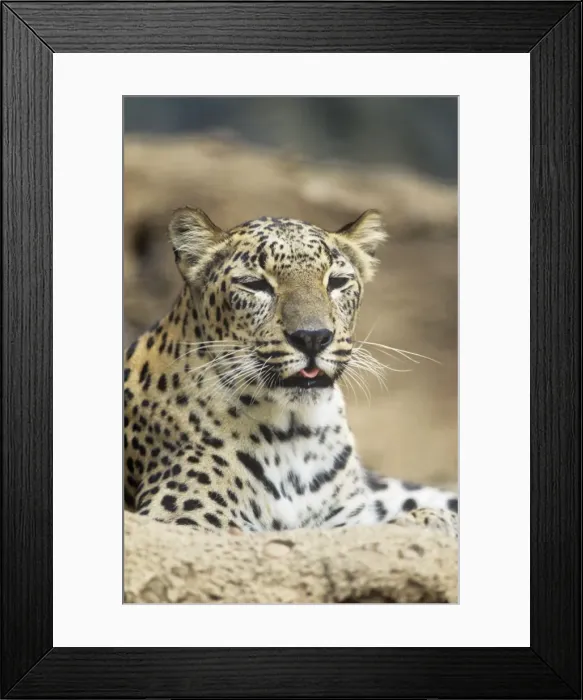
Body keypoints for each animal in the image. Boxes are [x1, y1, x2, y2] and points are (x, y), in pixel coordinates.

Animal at [124, 207, 459, 539]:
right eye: (254, 284)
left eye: (337, 282)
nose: (313, 337)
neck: (297, 435)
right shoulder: (183, 516)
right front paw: (430, 521)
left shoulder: (347, 515)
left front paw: (435, 519)